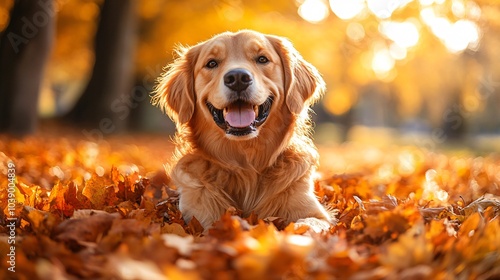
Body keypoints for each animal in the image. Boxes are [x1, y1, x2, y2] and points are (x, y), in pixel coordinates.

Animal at [152, 30, 332, 232]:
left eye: (262, 59)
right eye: (211, 63)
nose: (237, 78)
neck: (245, 165)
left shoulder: (316, 213)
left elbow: (310, 223)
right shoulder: (199, 215)